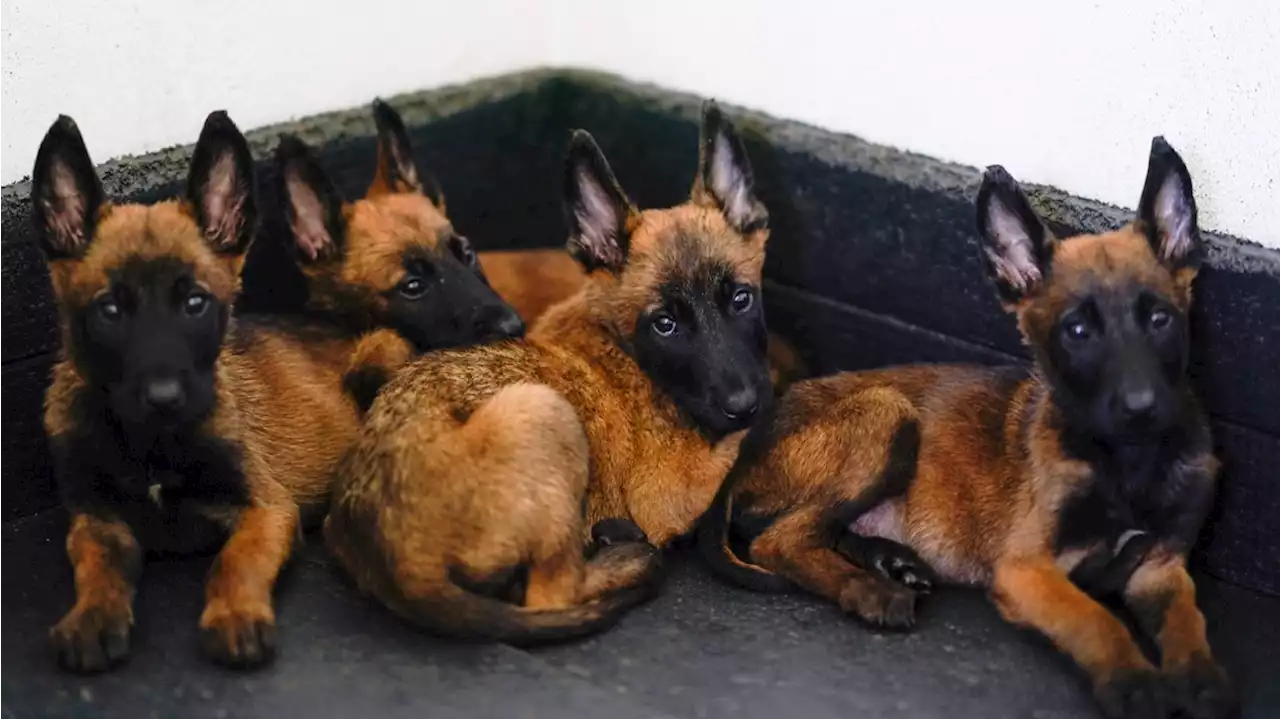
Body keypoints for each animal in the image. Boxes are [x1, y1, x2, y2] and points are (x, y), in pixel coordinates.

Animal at [325, 102, 773, 644]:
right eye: (665, 324)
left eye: (741, 299)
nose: (743, 404)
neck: (625, 348)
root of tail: (397, 563)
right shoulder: (671, 491)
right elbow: (746, 438)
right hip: (544, 409)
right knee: (549, 594)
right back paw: (626, 555)